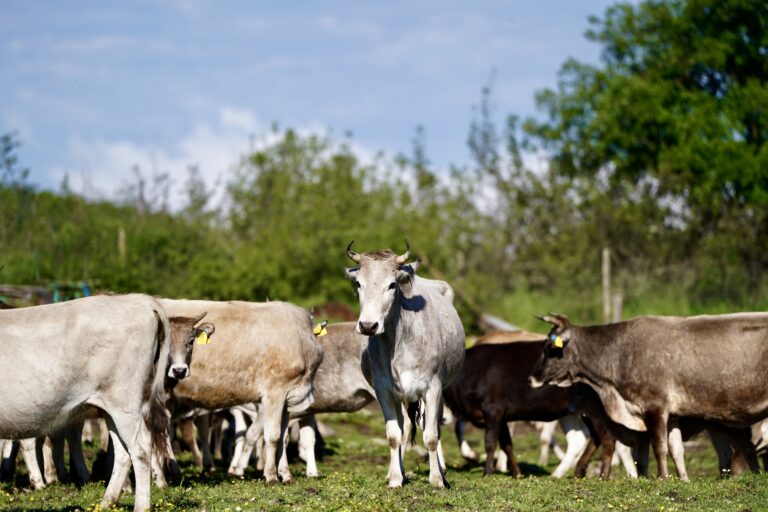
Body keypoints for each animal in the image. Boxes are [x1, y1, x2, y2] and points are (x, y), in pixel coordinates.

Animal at [0, 294, 172, 511]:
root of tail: (135, 298)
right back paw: (107, 502)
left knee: (140, 449)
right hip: (111, 408)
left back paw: (141, 506)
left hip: (124, 401)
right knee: (122, 452)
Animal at [344, 240, 465, 488]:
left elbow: (431, 436)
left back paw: (440, 470)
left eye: (392, 285)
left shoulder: (433, 388)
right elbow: (394, 435)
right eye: (359, 283)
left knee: (434, 428)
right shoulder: (383, 390)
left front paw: (437, 479)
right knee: (403, 427)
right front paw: (395, 479)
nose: (368, 326)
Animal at [443, 341, 589, 477]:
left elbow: (490, 442)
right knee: (577, 440)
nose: (443, 418)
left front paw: (488, 472)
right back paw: (559, 473)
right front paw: (517, 472)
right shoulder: (500, 416)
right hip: (569, 412)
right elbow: (506, 444)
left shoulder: (493, 410)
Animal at [529, 312, 766, 478]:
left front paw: (663, 478)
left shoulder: (655, 407)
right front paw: (680, 480)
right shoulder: (671, 414)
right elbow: (672, 450)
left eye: (550, 347)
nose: (531, 378)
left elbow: (659, 448)